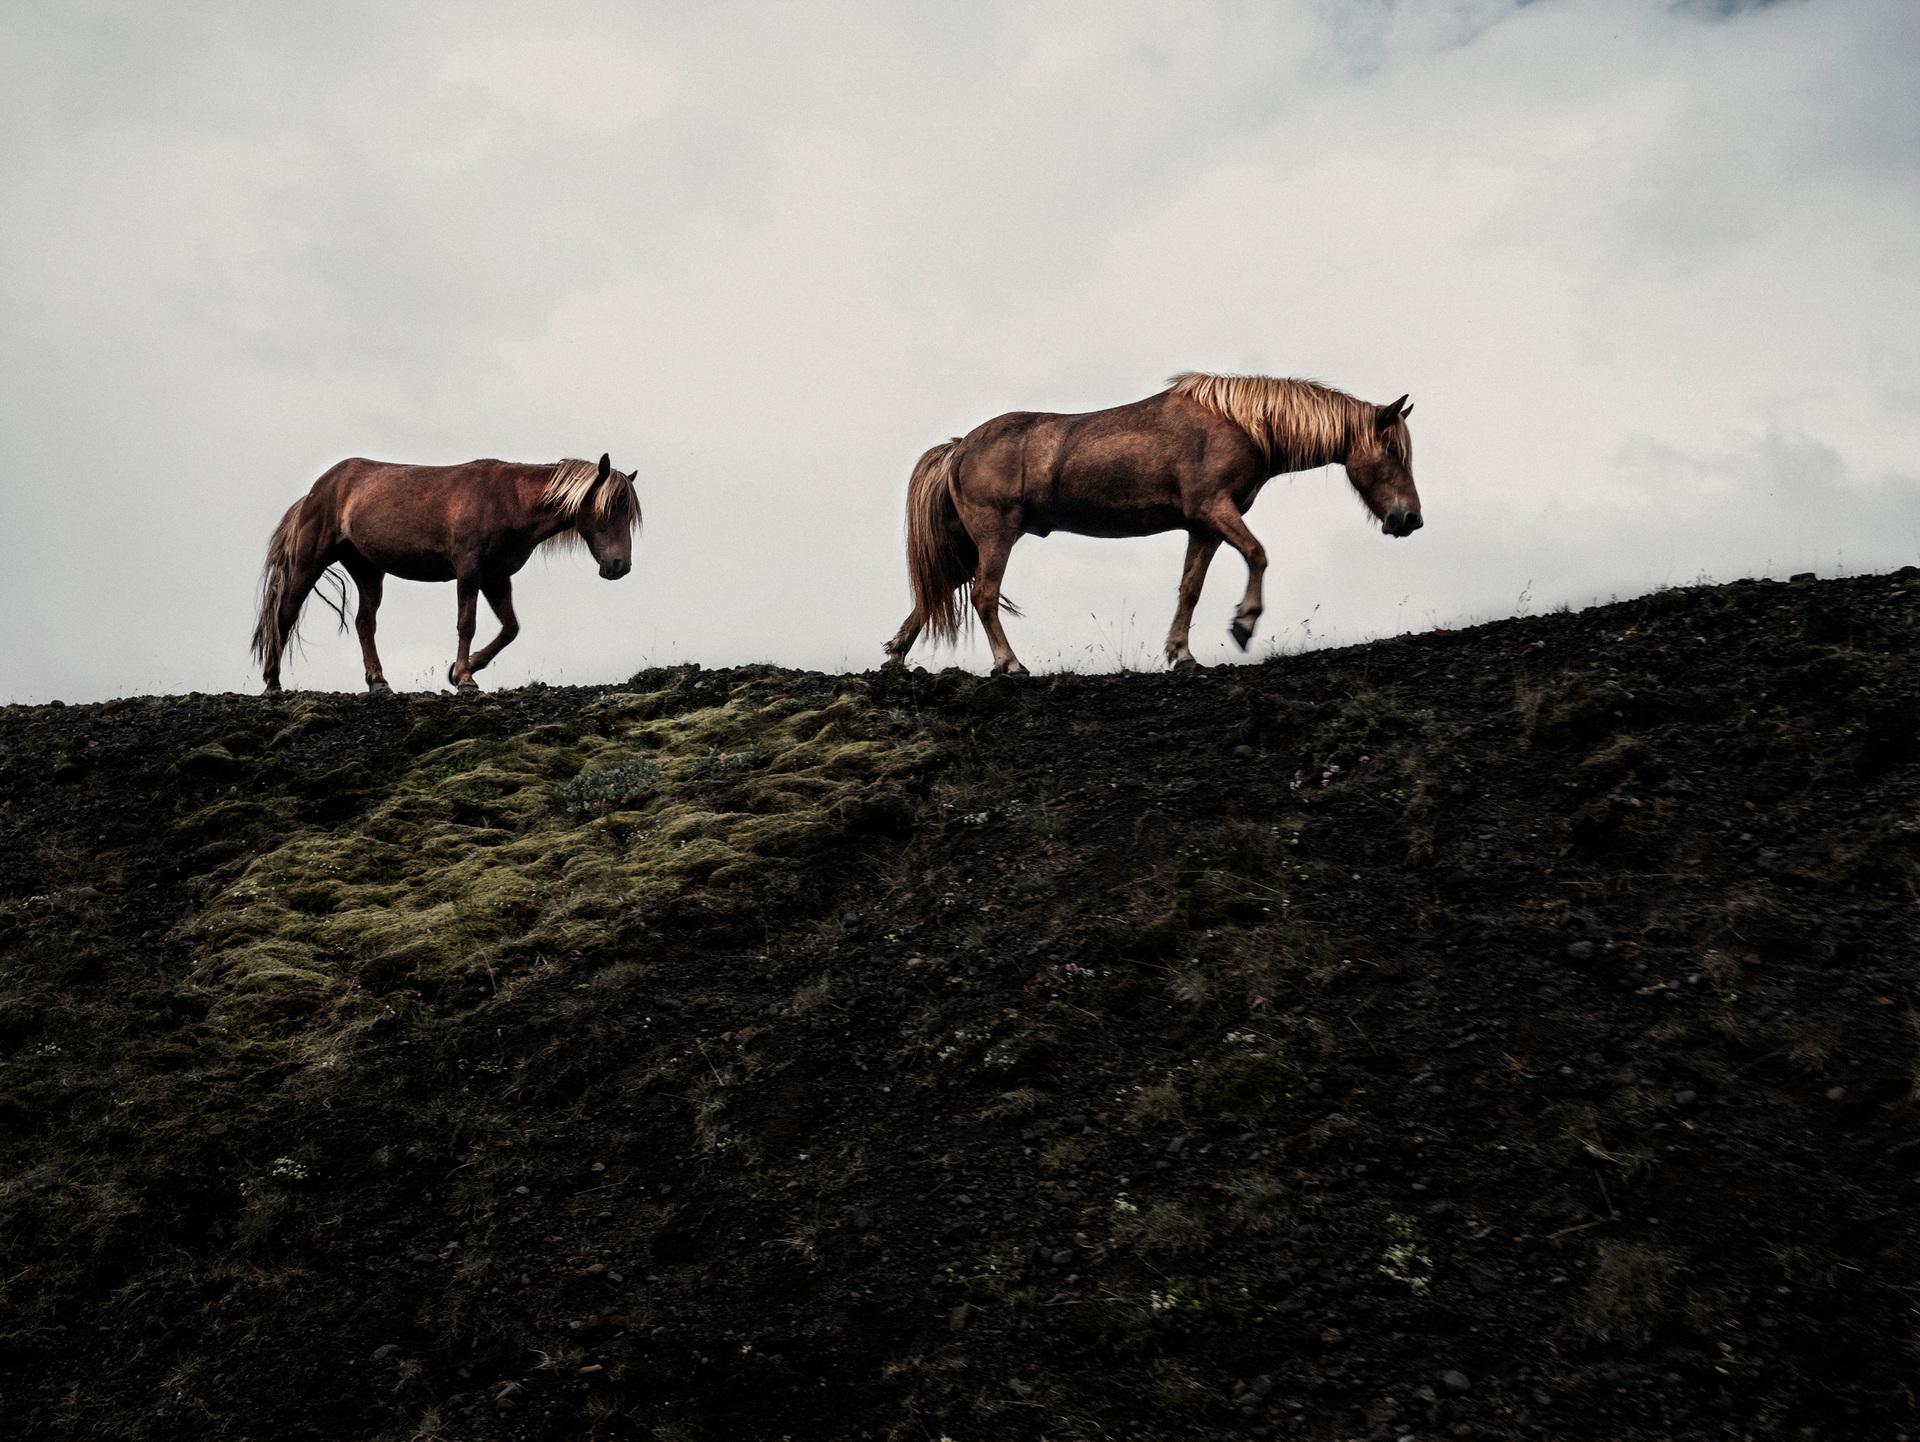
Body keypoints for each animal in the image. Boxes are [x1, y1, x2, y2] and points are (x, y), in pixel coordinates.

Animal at [251, 453, 645, 695]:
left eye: (627, 513)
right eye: (607, 510)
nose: (619, 566)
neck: (508, 501)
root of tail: (317, 490)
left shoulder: (497, 578)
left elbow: (510, 629)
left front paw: (460, 670)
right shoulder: (469, 573)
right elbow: (466, 624)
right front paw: (466, 678)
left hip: (368, 571)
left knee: (365, 623)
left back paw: (378, 681)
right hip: (310, 561)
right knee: (285, 614)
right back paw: (272, 682)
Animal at [887, 366, 1428, 672]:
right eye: (1393, 452)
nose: (1410, 518)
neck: (1242, 425)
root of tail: (958, 449)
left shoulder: (1205, 527)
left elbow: (1190, 588)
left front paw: (1182, 653)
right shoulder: (1215, 509)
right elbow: (1258, 554)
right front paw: (1244, 624)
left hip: (971, 544)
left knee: (937, 592)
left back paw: (896, 654)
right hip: (996, 536)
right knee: (983, 596)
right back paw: (1010, 664)